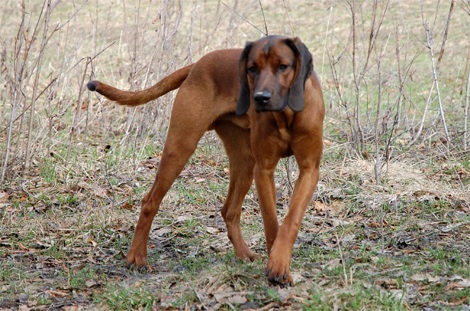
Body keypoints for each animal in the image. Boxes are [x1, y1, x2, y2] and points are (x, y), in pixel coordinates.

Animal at [87, 34, 324, 288]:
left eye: (283, 66)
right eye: (252, 69)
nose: (260, 99)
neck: (287, 114)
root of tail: (198, 64)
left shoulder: (309, 169)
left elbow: (290, 220)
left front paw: (279, 264)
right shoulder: (264, 169)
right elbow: (271, 223)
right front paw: (276, 266)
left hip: (244, 161)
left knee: (229, 210)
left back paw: (244, 254)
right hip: (180, 147)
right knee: (149, 202)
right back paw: (136, 257)